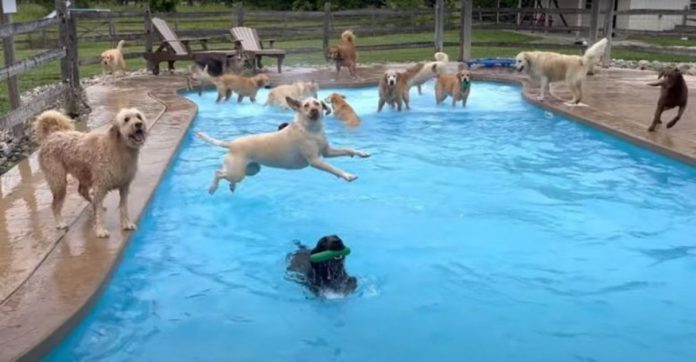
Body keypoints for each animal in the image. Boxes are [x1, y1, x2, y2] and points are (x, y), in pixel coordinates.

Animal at [35, 107, 147, 238]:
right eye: (126, 119)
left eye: (138, 116)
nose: (139, 124)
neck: (119, 147)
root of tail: (50, 136)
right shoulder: (100, 186)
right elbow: (99, 213)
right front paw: (100, 230)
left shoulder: (124, 186)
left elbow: (124, 207)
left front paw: (126, 223)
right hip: (58, 182)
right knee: (55, 205)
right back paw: (60, 222)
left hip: (84, 174)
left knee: (82, 191)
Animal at [196, 96, 370, 192]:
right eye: (305, 106)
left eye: (317, 104)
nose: (314, 111)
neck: (312, 129)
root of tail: (231, 144)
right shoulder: (315, 161)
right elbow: (334, 168)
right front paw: (347, 175)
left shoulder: (327, 152)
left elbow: (347, 149)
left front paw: (361, 153)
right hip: (238, 172)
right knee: (218, 173)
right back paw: (212, 188)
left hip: (251, 170)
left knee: (226, 173)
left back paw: (231, 186)